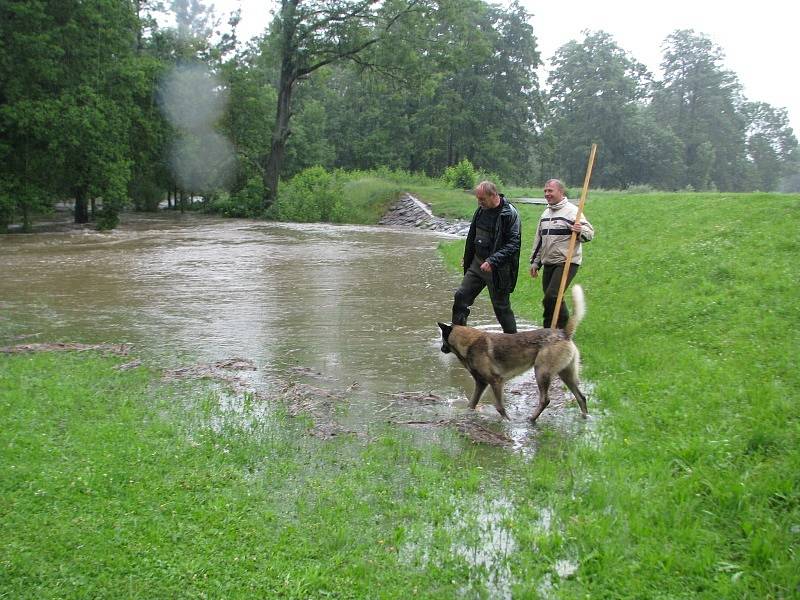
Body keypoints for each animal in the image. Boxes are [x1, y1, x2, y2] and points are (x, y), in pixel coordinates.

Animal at [438, 286, 588, 422]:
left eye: (442, 338)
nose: (441, 349)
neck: (469, 343)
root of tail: (564, 333)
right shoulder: (481, 383)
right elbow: (471, 404)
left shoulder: (496, 381)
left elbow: (499, 407)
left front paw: (508, 421)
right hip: (566, 374)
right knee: (581, 397)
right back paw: (585, 417)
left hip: (541, 373)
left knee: (545, 400)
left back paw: (531, 419)